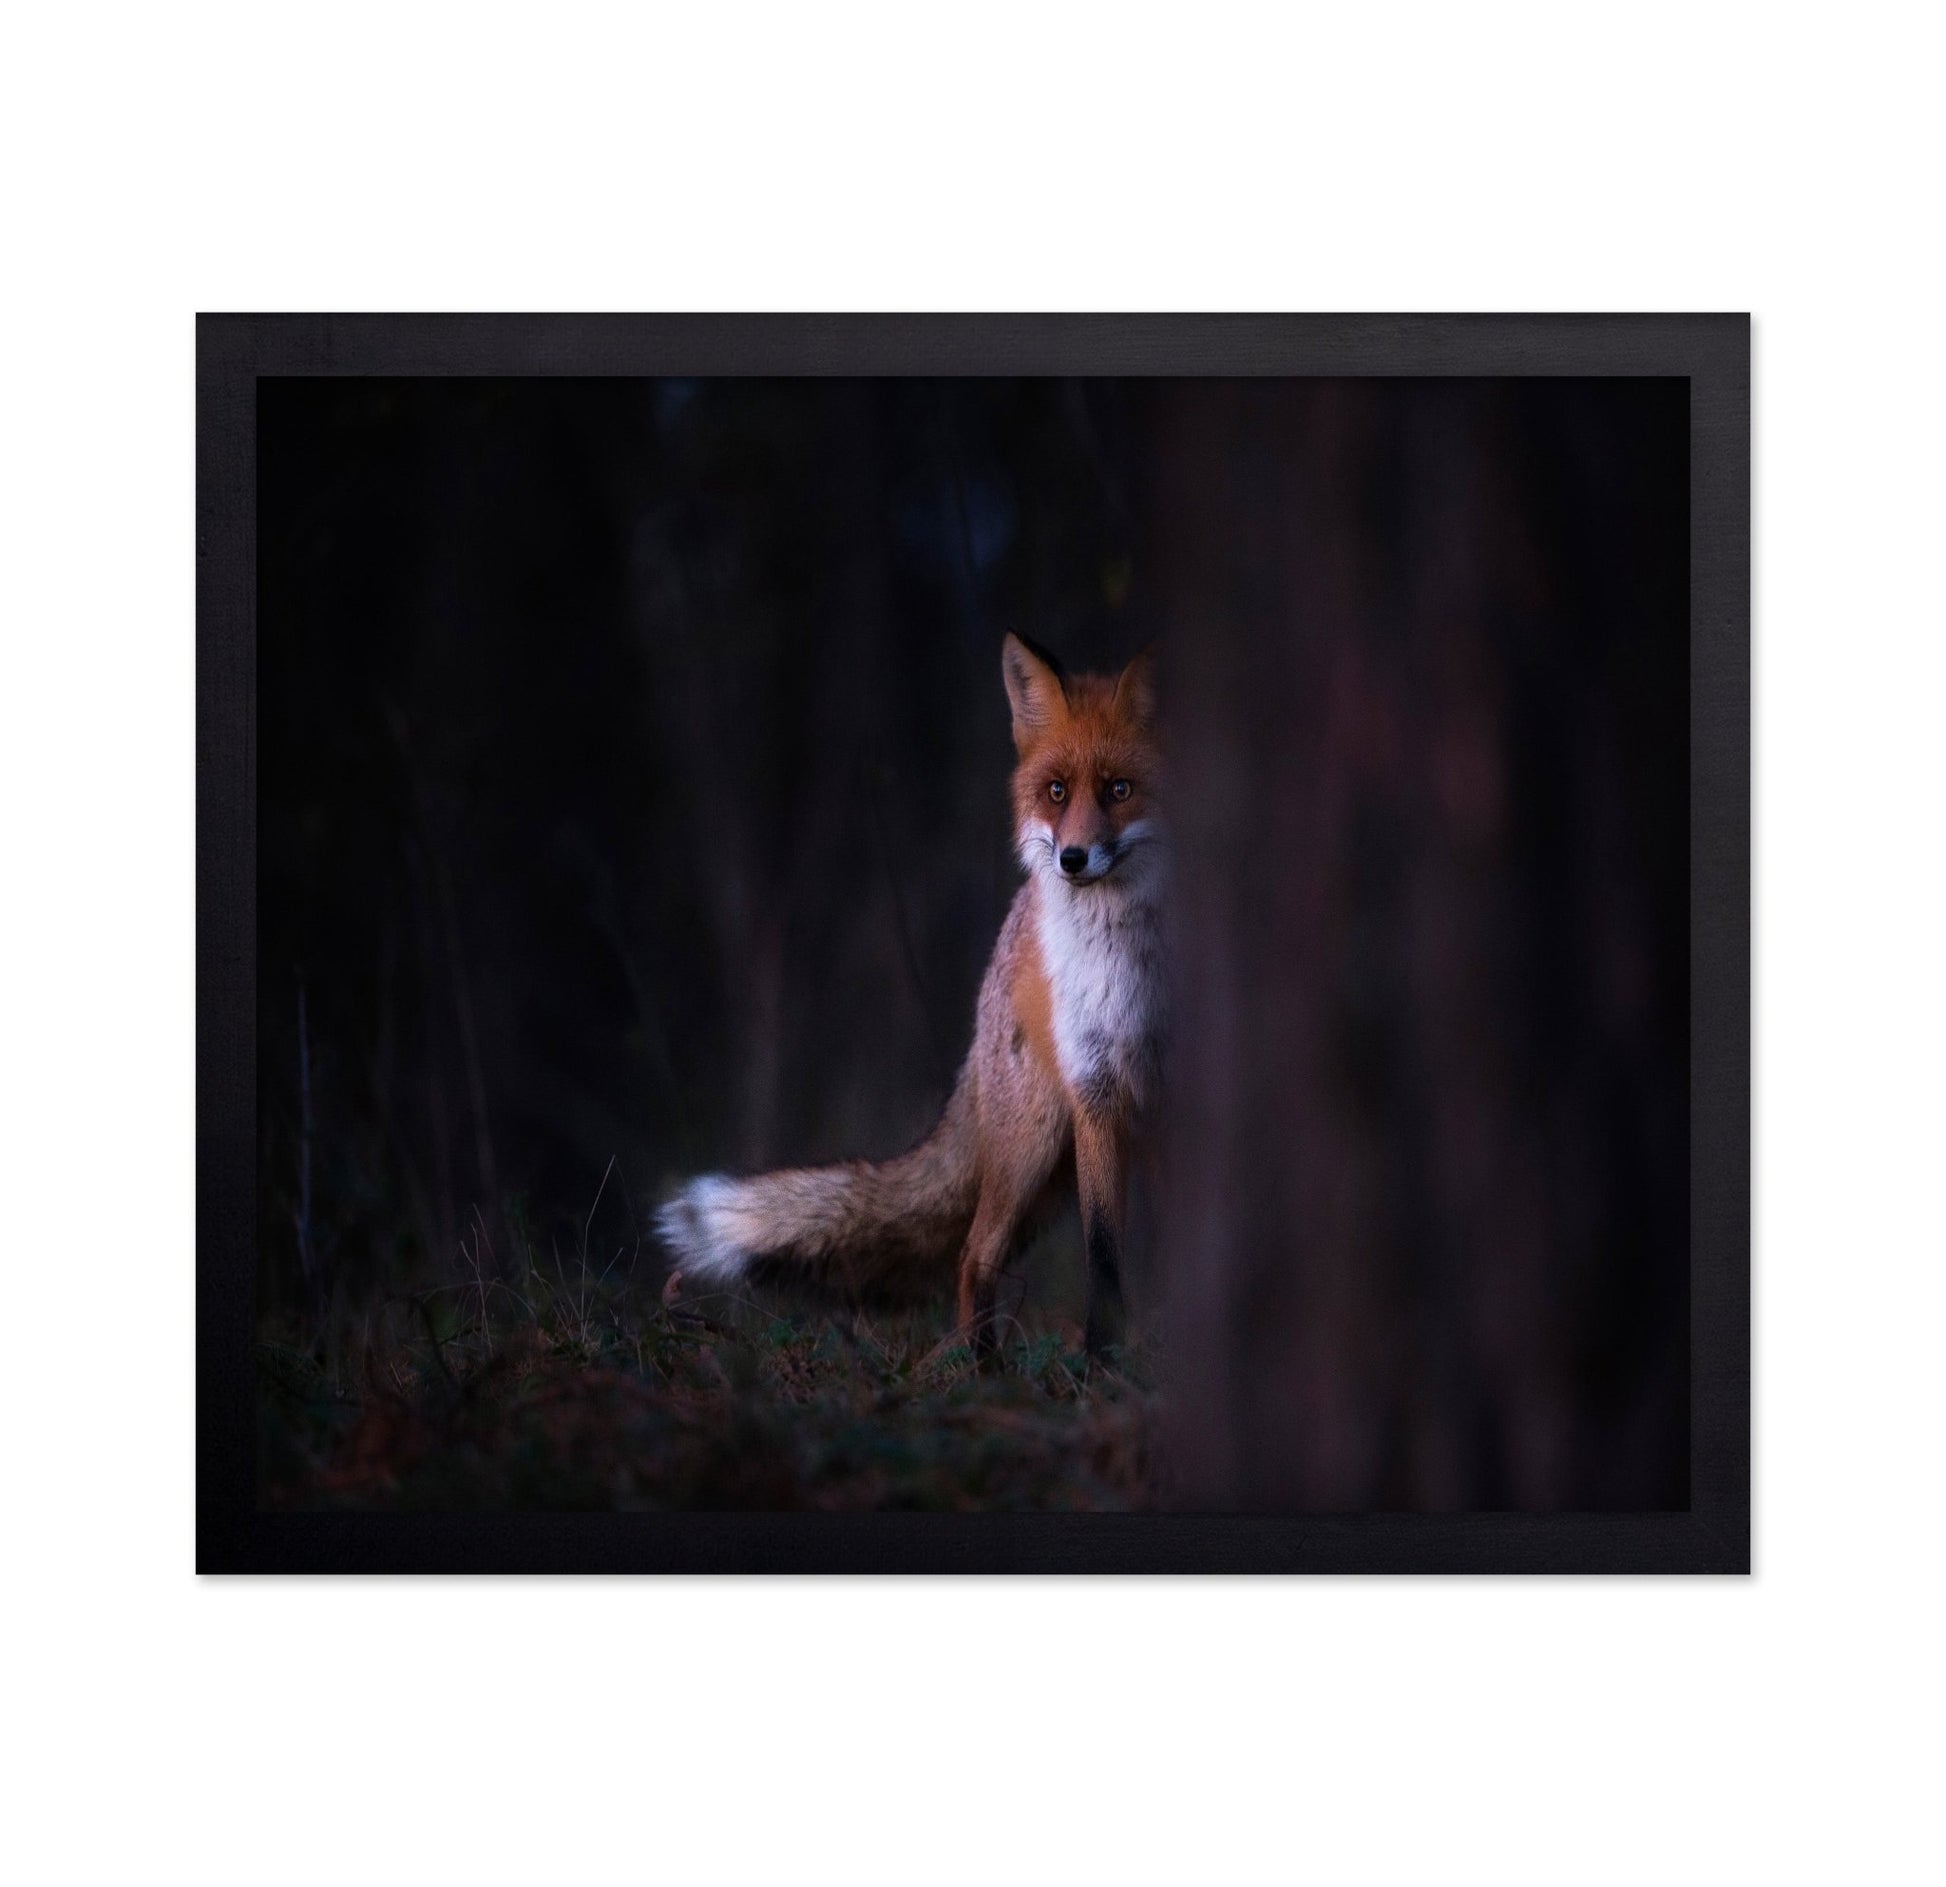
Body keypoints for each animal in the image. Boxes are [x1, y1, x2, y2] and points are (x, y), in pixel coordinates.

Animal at [655, 633, 1165, 1356]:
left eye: (1121, 790)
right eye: (1056, 791)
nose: (1072, 858)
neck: (1129, 968)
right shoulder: (1099, 1091)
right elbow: (1104, 1257)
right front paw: (1101, 1359)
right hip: (1033, 1143)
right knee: (973, 1256)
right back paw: (979, 1368)